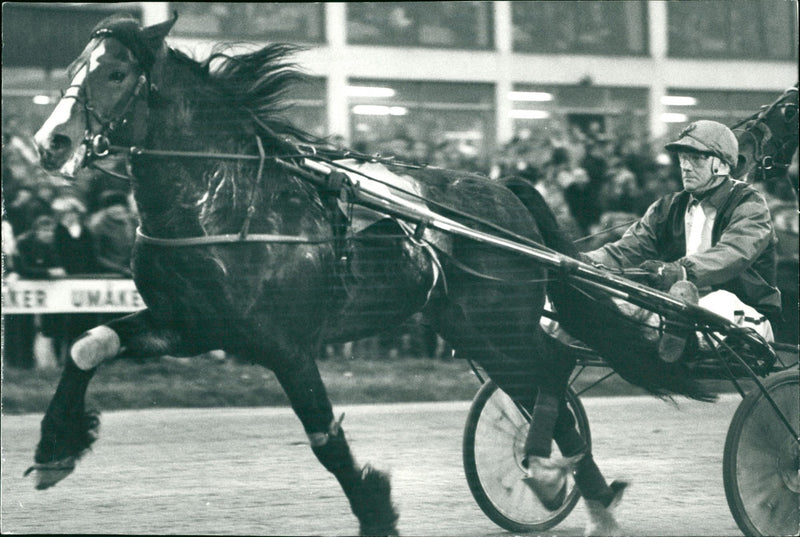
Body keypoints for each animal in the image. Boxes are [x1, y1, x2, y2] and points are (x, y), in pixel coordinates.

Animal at [29, 14, 720, 532]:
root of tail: (504, 190)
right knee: (539, 376)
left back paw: (556, 475)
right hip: (469, 324)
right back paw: (577, 489)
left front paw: (375, 510)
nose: (50, 143)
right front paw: (56, 448)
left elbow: (324, 439)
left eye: (116, 72)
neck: (226, 199)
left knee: (546, 372)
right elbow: (87, 345)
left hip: (497, 318)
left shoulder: (282, 344)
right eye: (71, 70)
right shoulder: (194, 325)